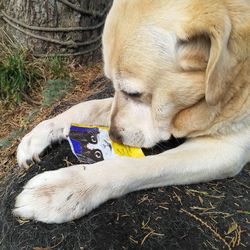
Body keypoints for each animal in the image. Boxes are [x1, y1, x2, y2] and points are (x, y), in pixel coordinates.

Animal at [14, 0, 250, 223]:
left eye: (134, 93)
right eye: (111, 83)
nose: (113, 135)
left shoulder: (226, 150)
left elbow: (137, 166)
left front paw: (67, 188)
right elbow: (87, 106)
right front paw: (40, 134)